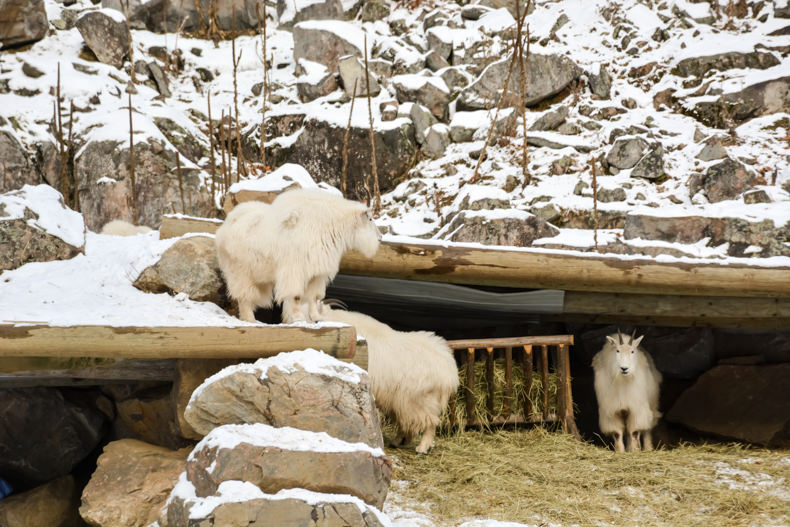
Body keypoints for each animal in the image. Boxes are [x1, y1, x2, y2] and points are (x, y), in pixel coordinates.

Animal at [213, 188, 380, 324]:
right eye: (370, 218)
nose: (380, 237)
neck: (328, 225)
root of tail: (224, 227)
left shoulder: (317, 273)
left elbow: (314, 297)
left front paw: (317, 318)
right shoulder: (296, 271)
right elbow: (296, 296)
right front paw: (299, 318)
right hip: (239, 273)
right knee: (243, 296)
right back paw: (250, 319)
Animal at [316, 308, 460, 456]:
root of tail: (449, 371)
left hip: (418, 400)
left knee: (429, 422)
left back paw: (422, 447)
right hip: (402, 401)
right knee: (409, 423)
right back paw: (399, 441)